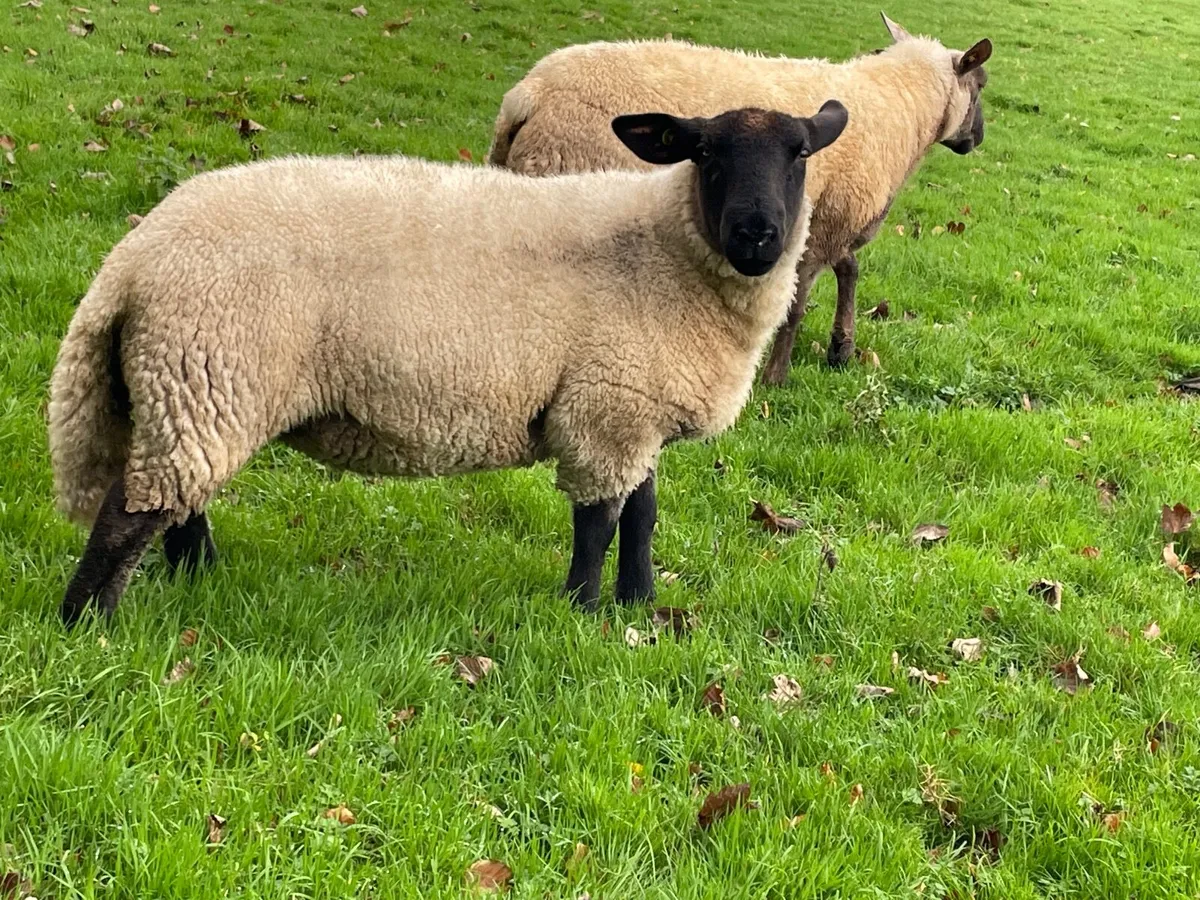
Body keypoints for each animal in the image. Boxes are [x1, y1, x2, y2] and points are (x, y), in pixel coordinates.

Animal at [49, 101, 849, 625]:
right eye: (705, 153)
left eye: (800, 154)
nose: (757, 234)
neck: (663, 252)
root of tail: (133, 258)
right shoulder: (605, 409)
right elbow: (598, 520)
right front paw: (583, 610)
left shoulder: (630, 409)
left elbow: (642, 515)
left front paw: (639, 602)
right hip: (203, 372)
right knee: (130, 515)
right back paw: (90, 625)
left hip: (194, 390)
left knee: (180, 503)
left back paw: (202, 582)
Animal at [488, 13, 992, 381]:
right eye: (982, 84)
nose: (978, 139)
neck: (900, 108)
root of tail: (525, 97)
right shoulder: (824, 224)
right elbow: (798, 303)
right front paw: (775, 378)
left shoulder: (830, 219)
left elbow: (849, 270)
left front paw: (841, 348)